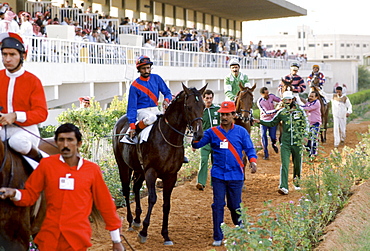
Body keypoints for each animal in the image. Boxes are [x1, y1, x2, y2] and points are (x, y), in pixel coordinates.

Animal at [111, 84, 207, 245]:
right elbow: (152, 198)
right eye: (188, 107)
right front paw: (144, 232)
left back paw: (137, 219)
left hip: (139, 169)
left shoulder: (171, 176)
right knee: (126, 189)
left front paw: (166, 235)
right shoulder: (151, 172)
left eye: (204, 106)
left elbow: (167, 204)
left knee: (136, 187)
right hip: (123, 165)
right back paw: (130, 221)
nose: (198, 134)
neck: (168, 139)